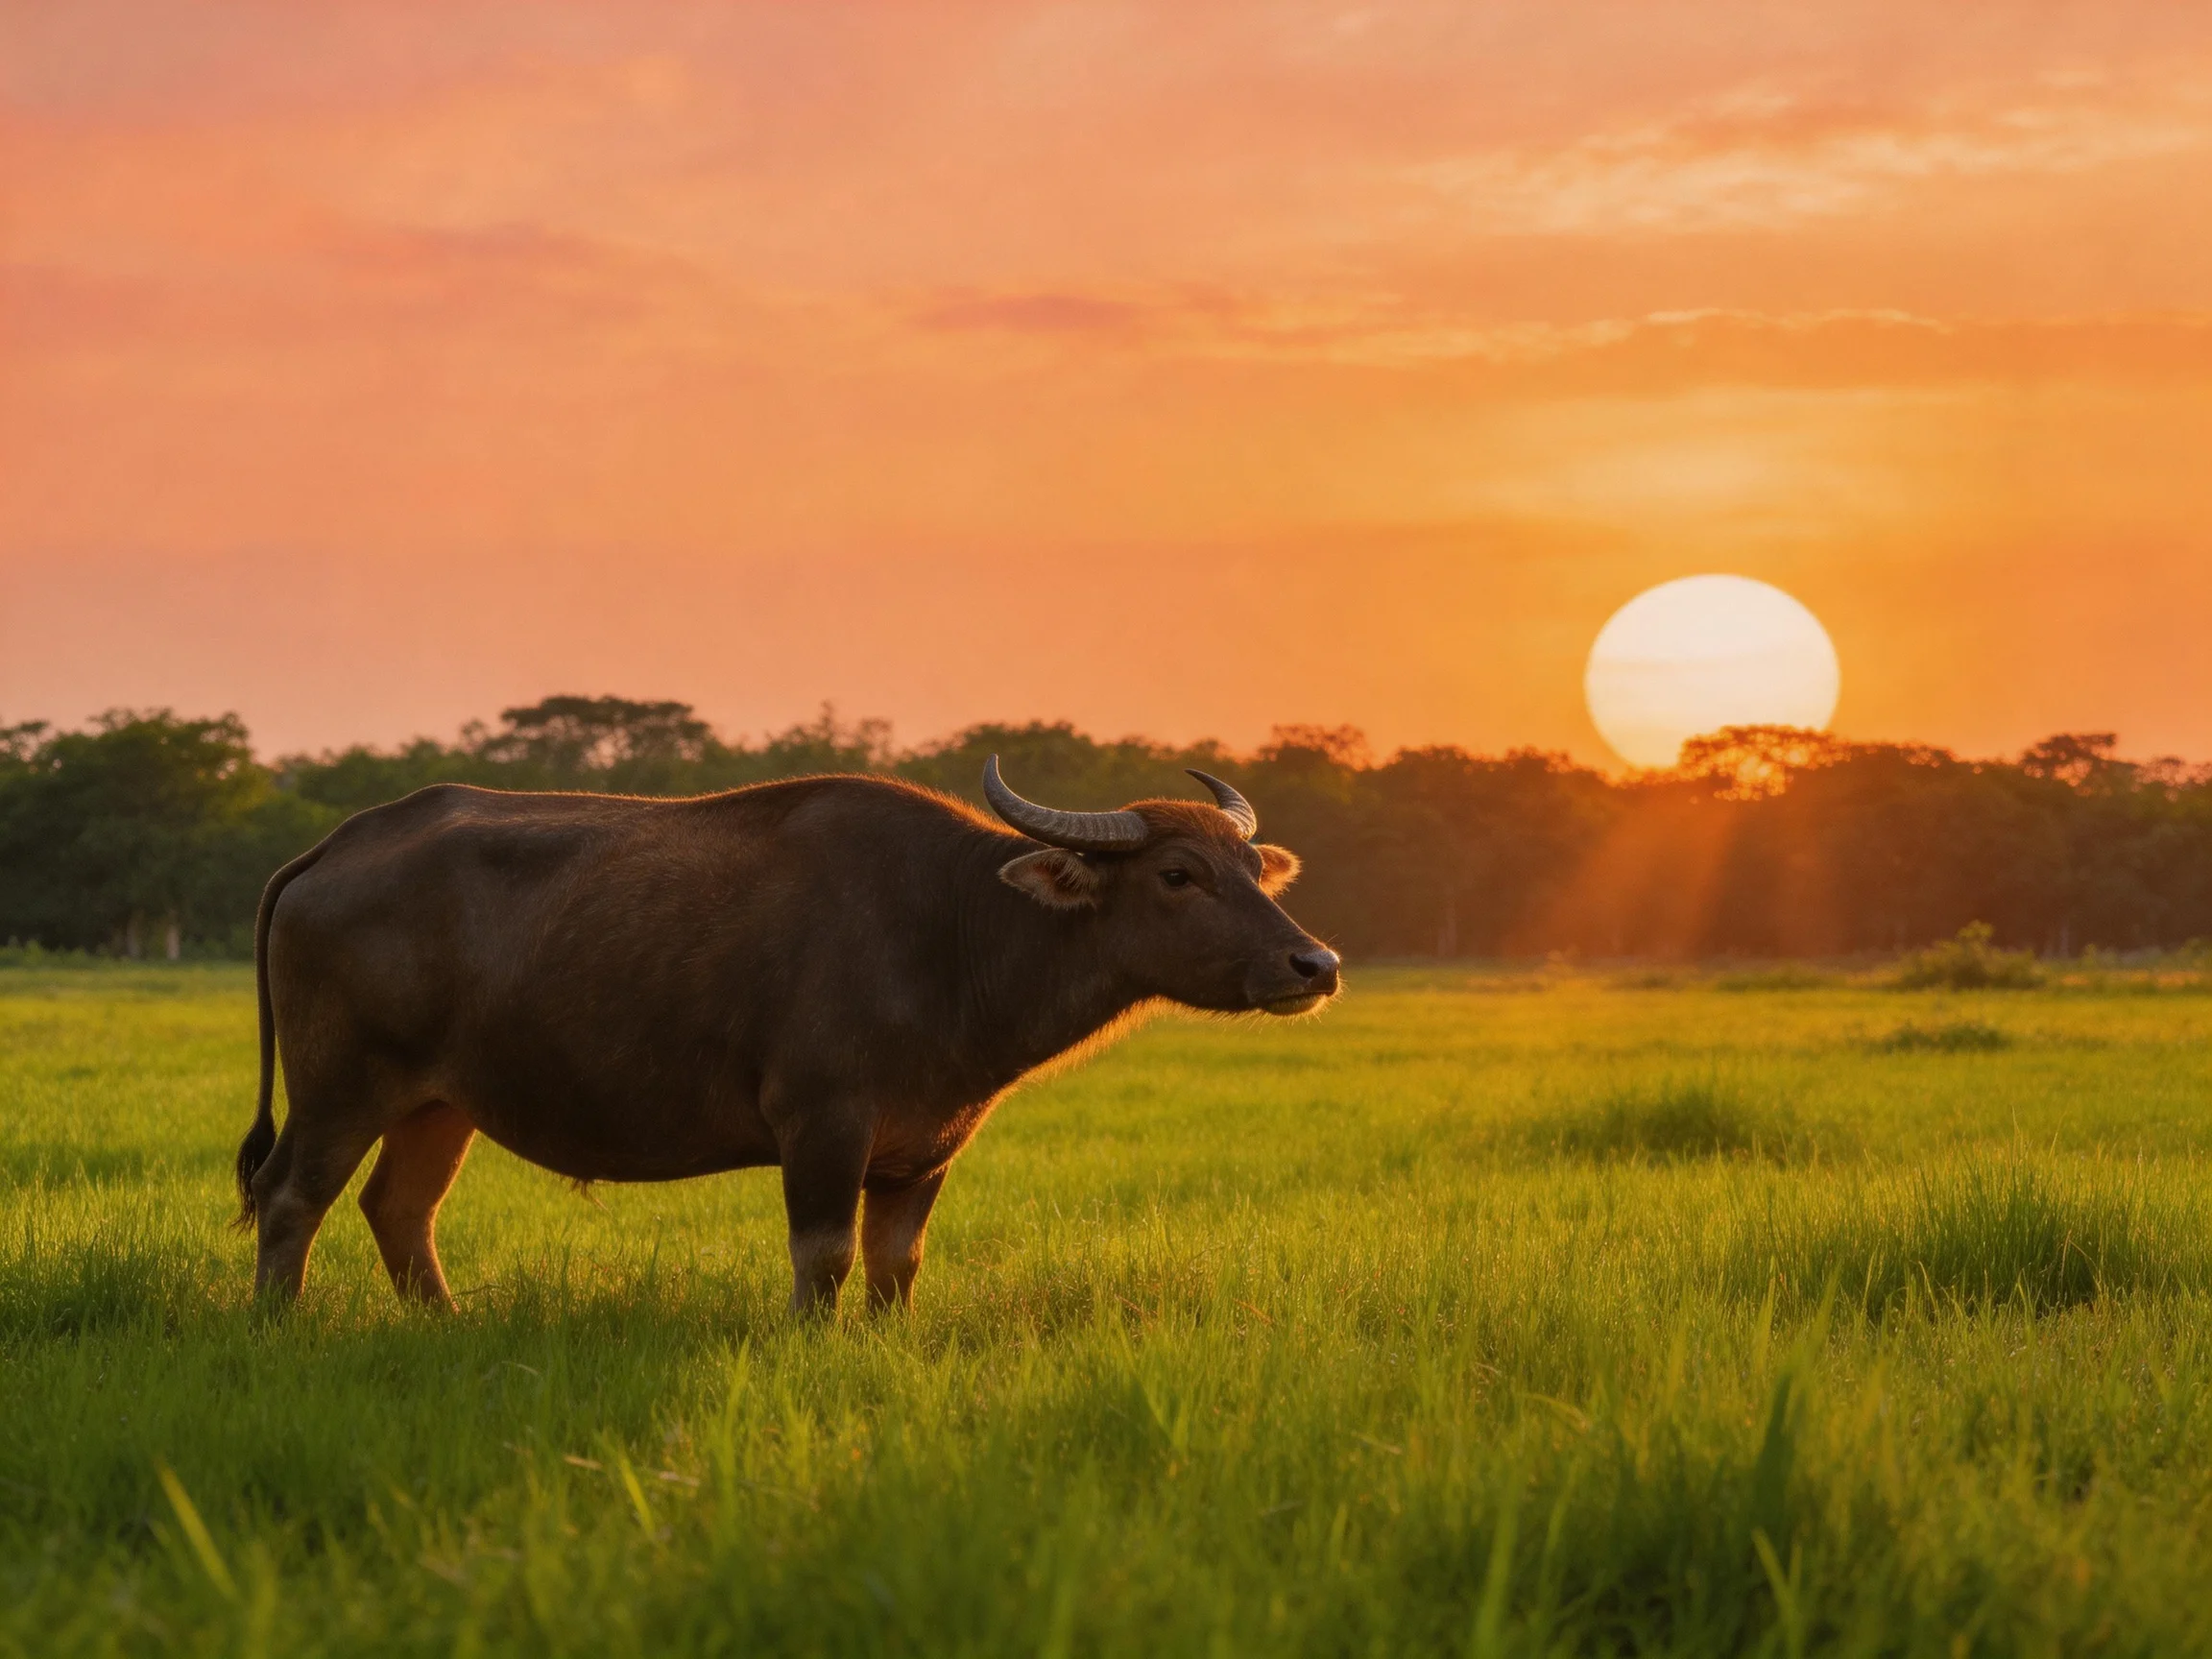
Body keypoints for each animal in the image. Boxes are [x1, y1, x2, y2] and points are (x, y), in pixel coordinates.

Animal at [235, 760, 1340, 1315]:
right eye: (1178, 875)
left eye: (1252, 869)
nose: (1314, 964)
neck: (952, 934)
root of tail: (340, 843)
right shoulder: (822, 1125)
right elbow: (826, 1258)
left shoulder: (927, 1148)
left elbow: (896, 1264)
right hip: (339, 1086)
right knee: (292, 1200)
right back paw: (278, 1329)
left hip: (437, 1101)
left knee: (398, 1207)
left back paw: (447, 1324)